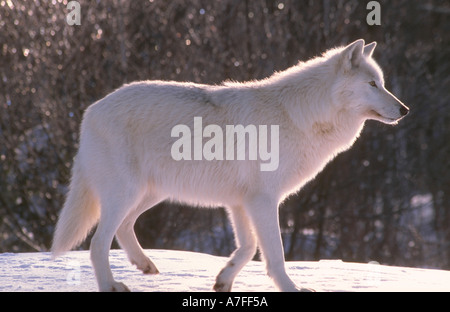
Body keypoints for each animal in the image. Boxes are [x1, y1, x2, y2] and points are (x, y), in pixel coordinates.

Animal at [51, 39, 408, 292]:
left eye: (382, 83)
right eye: (373, 84)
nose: (404, 110)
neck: (302, 116)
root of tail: (90, 111)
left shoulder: (240, 202)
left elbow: (248, 248)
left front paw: (224, 280)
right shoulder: (263, 200)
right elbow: (274, 254)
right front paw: (292, 289)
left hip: (150, 194)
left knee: (124, 228)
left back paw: (145, 265)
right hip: (128, 194)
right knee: (98, 243)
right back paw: (111, 285)